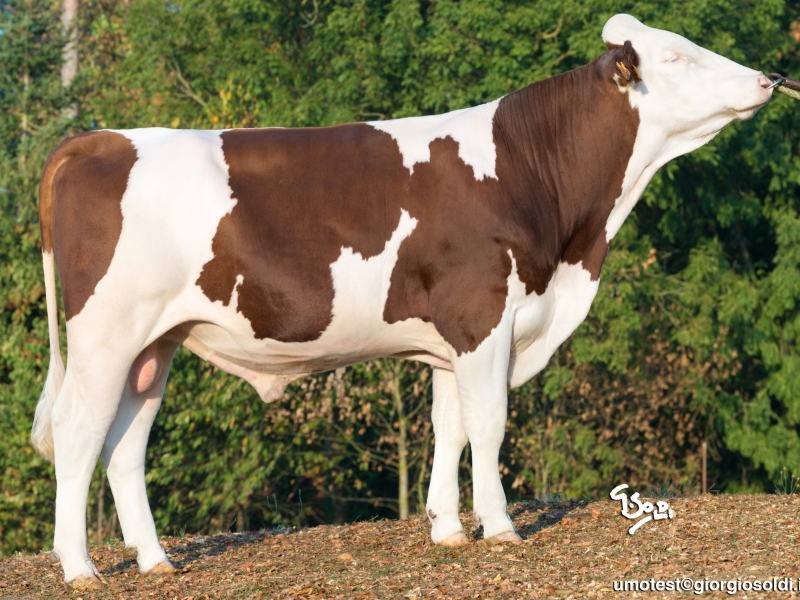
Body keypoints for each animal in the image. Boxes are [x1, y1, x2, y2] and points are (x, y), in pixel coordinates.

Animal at [31, 14, 773, 589]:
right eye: (675, 56)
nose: (769, 80)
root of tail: (100, 138)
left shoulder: (454, 338)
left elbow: (451, 426)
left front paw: (447, 530)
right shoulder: (482, 315)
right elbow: (490, 423)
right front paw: (500, 527)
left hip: (153, 343)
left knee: (124, 442)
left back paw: (155, 561)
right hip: (105, 333)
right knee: (77, 430)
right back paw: (80, 568)